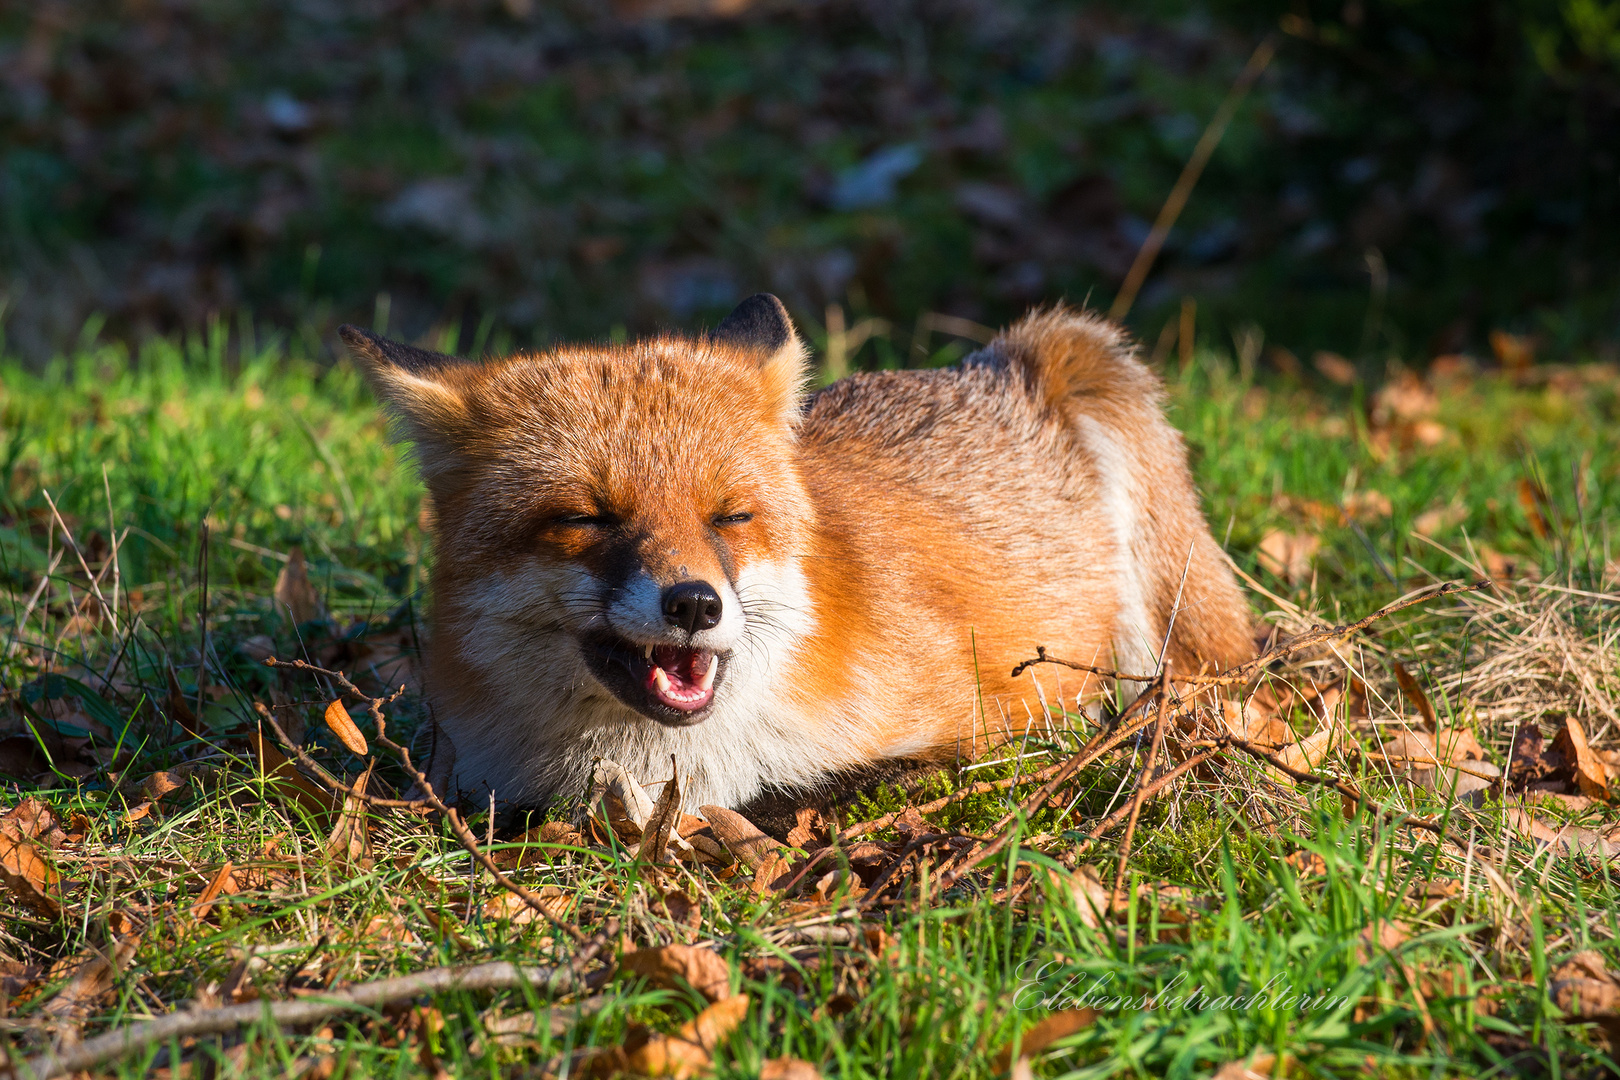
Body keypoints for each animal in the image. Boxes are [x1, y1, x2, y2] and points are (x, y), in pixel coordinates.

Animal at [341, 293, 1250, 809]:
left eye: (731, 516)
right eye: (587, 518)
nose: (694, 603)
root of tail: (984, 364)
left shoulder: (985, 716)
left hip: (1099, 381)